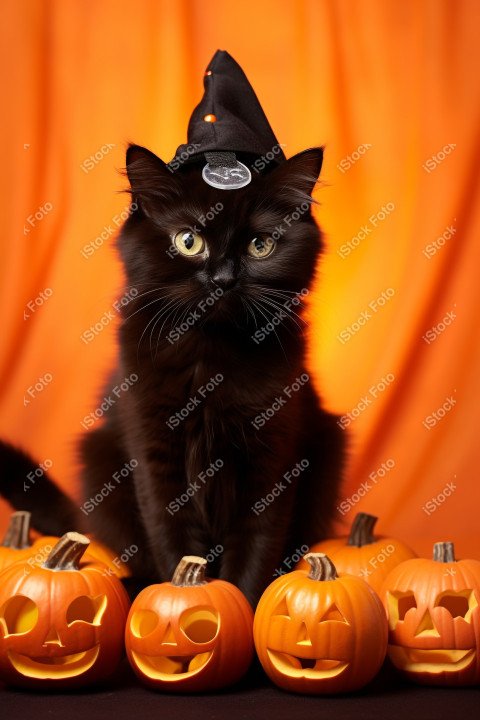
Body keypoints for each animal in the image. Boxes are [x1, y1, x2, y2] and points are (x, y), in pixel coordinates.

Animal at [0, 143, 344, 604]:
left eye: (260, 245)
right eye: (188, 241)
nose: (223, 279)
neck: (211, 357)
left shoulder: (273, 454)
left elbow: (257, 546)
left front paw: (245, 607)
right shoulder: (153, 451)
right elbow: (173, 539)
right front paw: (185, 588)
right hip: (99, 460)